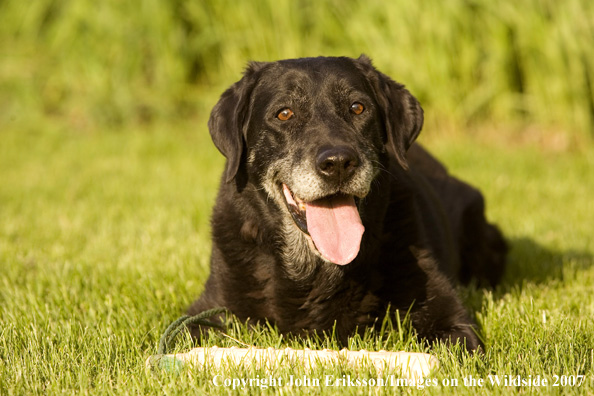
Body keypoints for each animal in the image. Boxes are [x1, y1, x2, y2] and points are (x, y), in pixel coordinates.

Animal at [188, 54, 504, 352]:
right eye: (284, 114)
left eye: (357, 108)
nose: (338, 163)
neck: (317, 271)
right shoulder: (208, 311)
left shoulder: (448, 318)